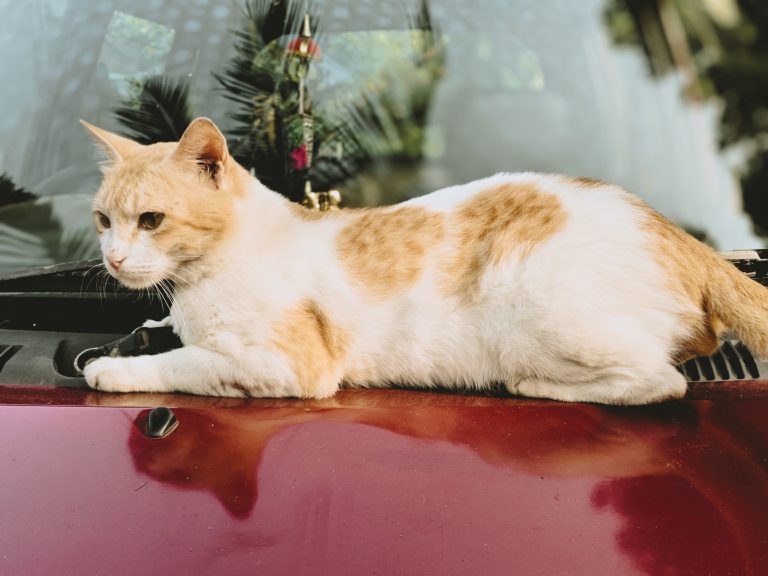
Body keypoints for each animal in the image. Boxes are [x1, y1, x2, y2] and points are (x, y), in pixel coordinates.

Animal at [81, 117, 768, 404]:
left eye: (151, 220)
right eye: (104, 220)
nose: (113, 259)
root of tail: (678, 235)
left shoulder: (289, 365)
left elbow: (187, 363)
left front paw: (112, 371)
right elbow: (174, 343)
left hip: (542, 317)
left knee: (662, 381)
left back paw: (533, 385)